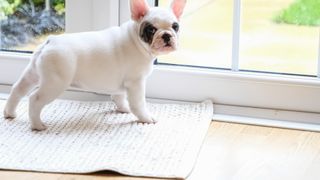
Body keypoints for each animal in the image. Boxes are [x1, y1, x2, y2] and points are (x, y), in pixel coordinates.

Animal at [2, 0, 186, 130]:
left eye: (175, 27)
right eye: (151, 30)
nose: (167, 35)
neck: (136, 39)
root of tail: (50, 41)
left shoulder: (121, 84)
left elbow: (119, 96)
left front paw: (123, 109)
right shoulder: (136, 83)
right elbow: (138, 103)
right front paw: (146, 118)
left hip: (33, 73)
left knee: (18, 89)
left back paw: (9, 113)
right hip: (55, 83)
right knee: (34, 99)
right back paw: (37, 125)